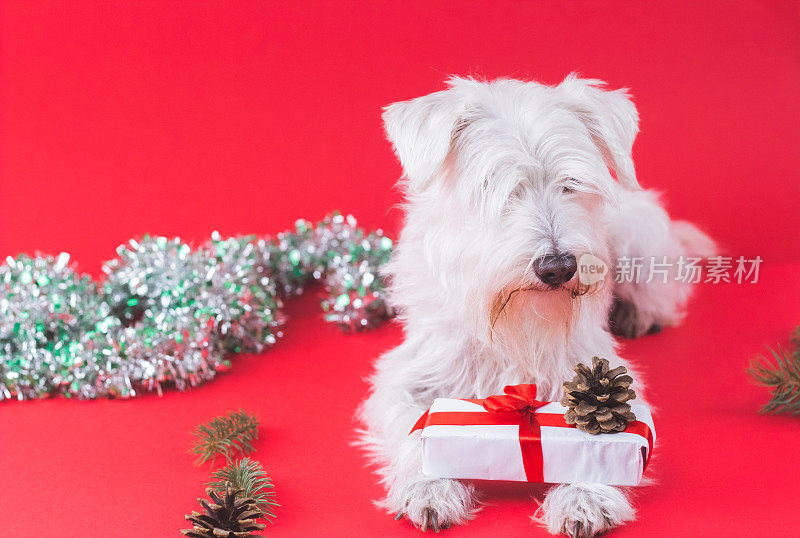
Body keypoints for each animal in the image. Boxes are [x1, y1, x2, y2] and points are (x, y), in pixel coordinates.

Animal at [356, 76, 712, 536]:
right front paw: (429, 485)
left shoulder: (592, 367)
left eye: (571, 183)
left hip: (642, 247)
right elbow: (413, 428)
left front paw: (584, 495)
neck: (516, 322)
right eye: (491, 184)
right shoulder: (409, 375)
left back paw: (640, 315)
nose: (558, 266)